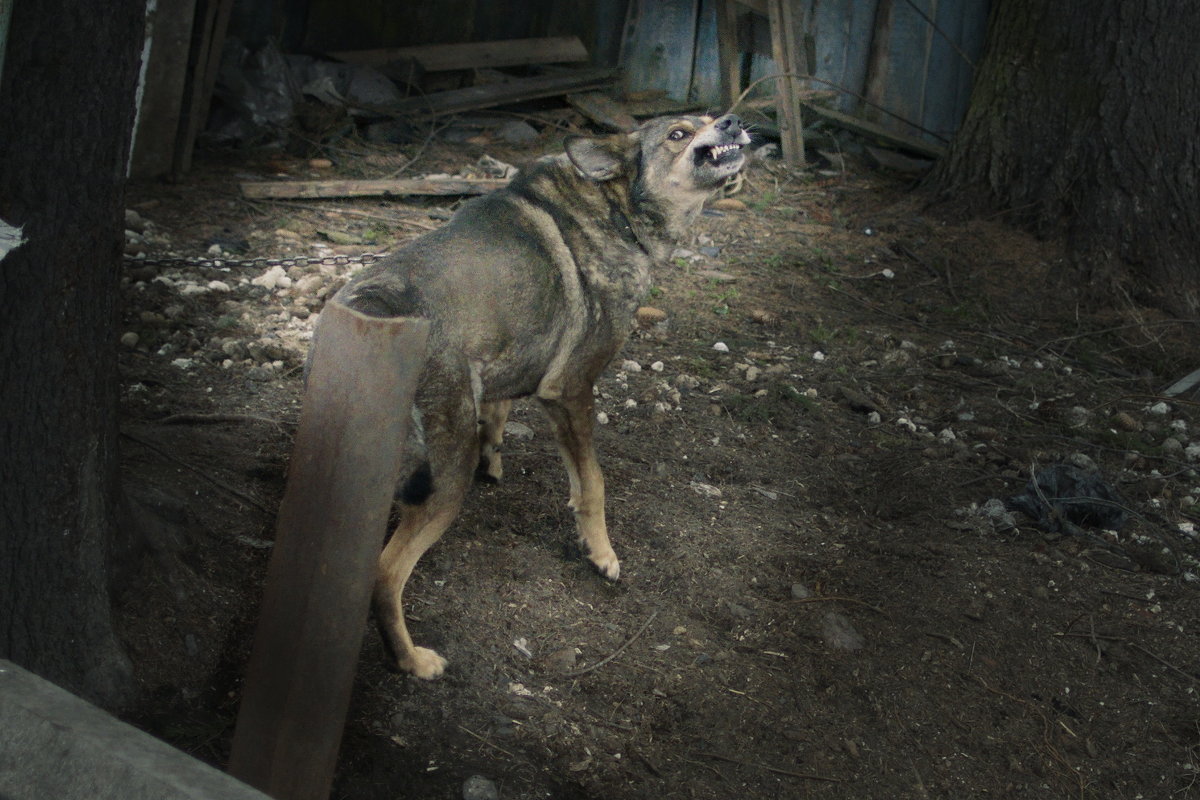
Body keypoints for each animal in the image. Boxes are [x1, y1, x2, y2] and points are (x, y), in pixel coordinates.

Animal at [331, 110, 748, 676]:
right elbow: (592, 484)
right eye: (678, 134)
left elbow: (499, 414)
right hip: (443, 478)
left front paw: (495, 461)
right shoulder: (571, 390)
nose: (734, 119)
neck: (614, 209)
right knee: (384, 575)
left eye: (708, 118)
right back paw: (412, 660)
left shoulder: (512, 352)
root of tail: (368, 318)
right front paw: (600, 554)